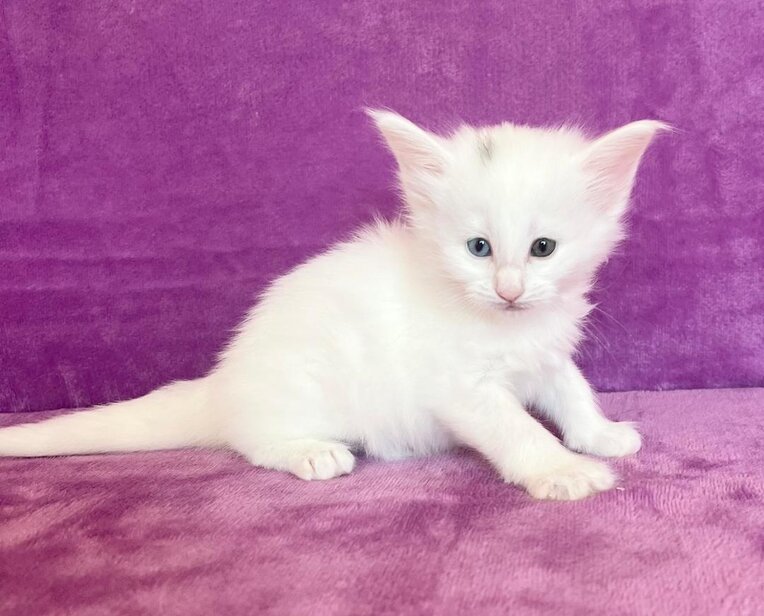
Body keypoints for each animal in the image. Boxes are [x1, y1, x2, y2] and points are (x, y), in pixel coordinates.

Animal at [0, 110, 667, 500]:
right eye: (478, 248)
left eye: (542, 248)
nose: (507, 289)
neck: (505, 324)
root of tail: (222, 381)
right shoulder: (460, 386)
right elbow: (516, 428)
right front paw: (560, 470)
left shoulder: (547, 351)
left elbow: (573, 391)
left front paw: (599, 436)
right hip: (300, 388)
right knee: (251, 440)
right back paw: (310, 452)